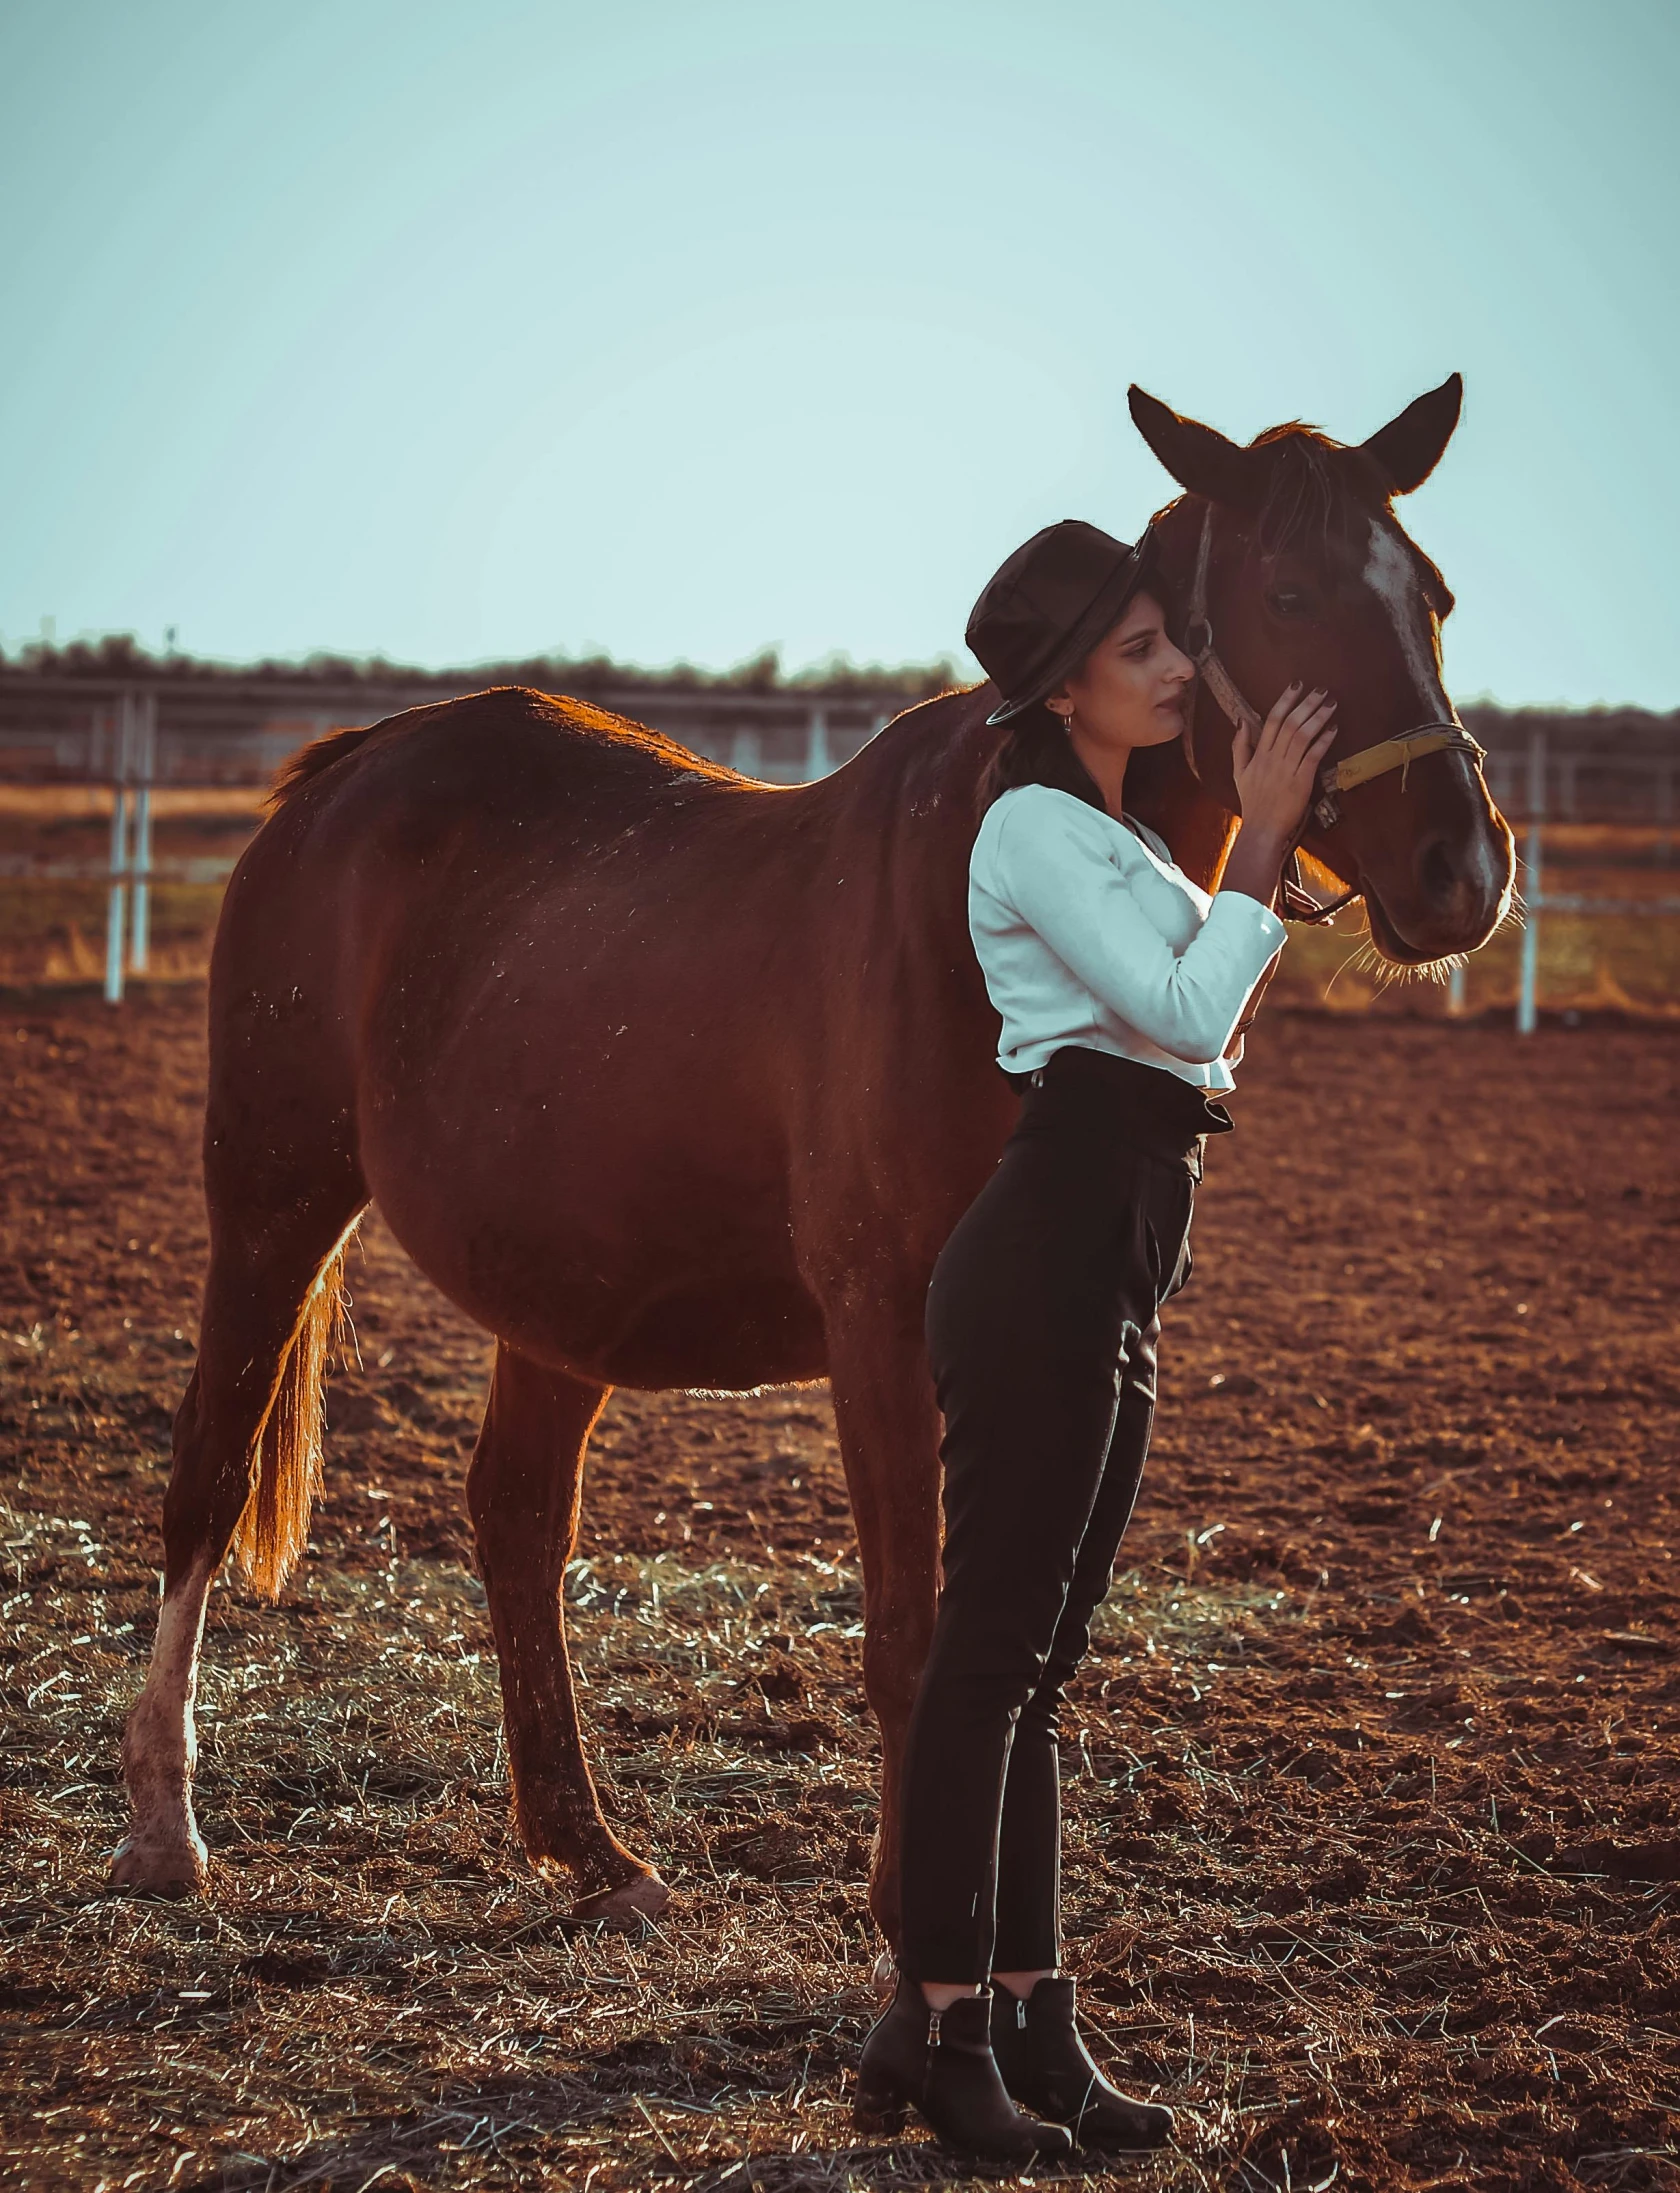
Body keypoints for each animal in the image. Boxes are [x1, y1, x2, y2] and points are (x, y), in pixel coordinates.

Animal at [111, 377, 1517, 1938]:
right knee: (208, 1472)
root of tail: (343, 775)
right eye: (1287, 591)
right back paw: (166, 1828)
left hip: (559, 1282)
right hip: (272, 1200)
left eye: (1433, 595)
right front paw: (918, 1913)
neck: (972, 897)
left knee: (516, 1517)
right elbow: (910, 1628)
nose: (1462, 868)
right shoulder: (882, 1327)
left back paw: (586, 1845)